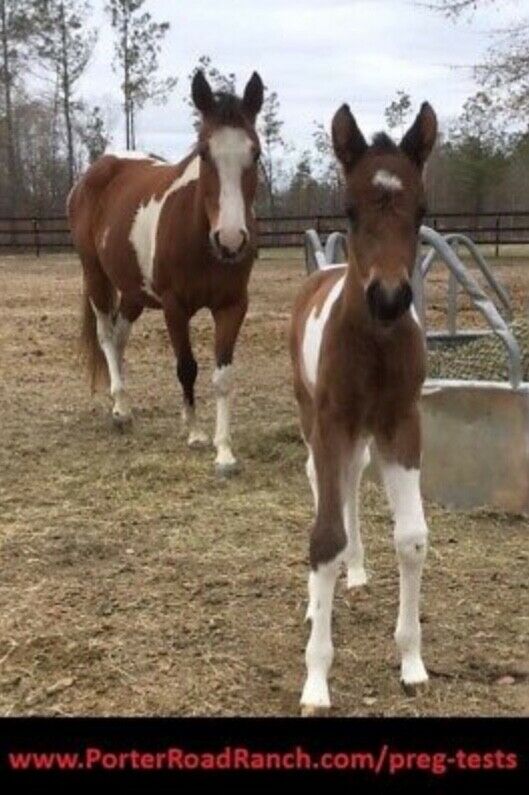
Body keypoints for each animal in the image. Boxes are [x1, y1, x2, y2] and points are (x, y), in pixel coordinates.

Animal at [68, 70, 264, 475]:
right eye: (204, 152)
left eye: (255, 153)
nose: (231, 240)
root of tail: (96, 170)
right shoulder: (176, 308)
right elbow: (187, 367)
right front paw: (195, 432)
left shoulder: (233, 306)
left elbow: (223, 376)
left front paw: (224, 452)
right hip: (95, 276)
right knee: (107, 336)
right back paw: (120, 409)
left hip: (134, 291)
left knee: (120, 336)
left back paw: (122, 403)